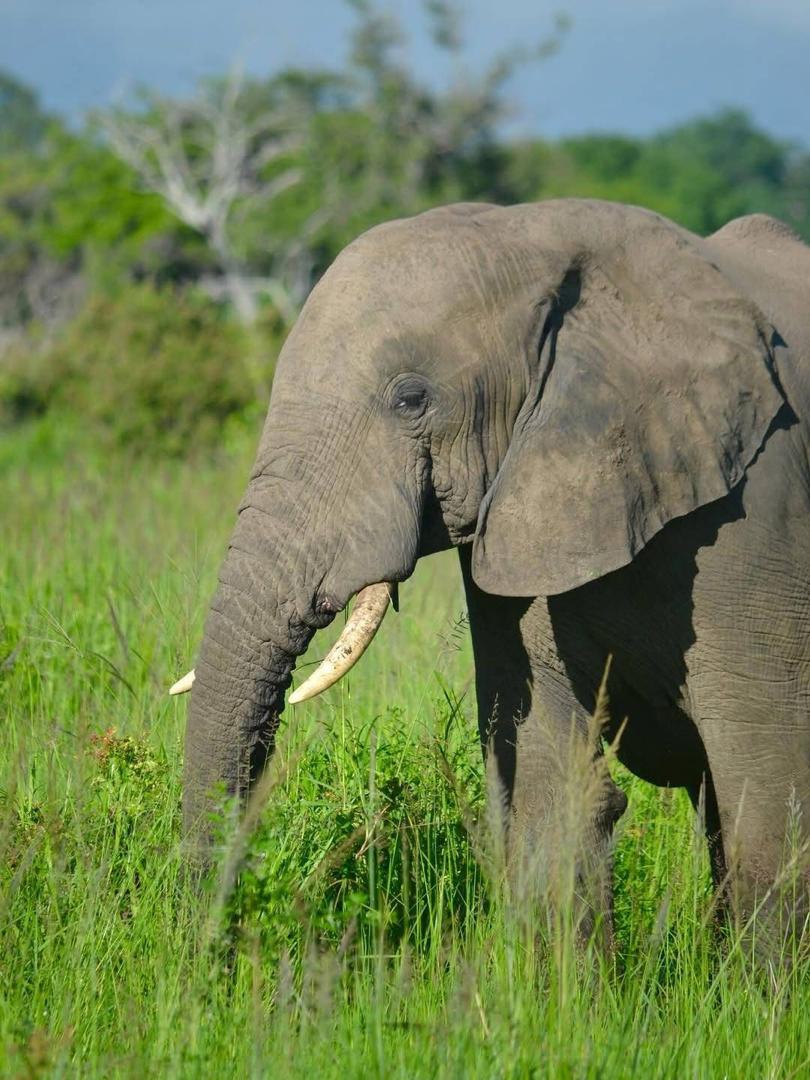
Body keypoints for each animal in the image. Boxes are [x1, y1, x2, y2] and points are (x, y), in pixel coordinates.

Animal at [174, 198, 810, 942]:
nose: (210, 942)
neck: (540, 235)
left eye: (410, 399)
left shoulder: (762, 510)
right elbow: (547, 789)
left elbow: (769, 810)